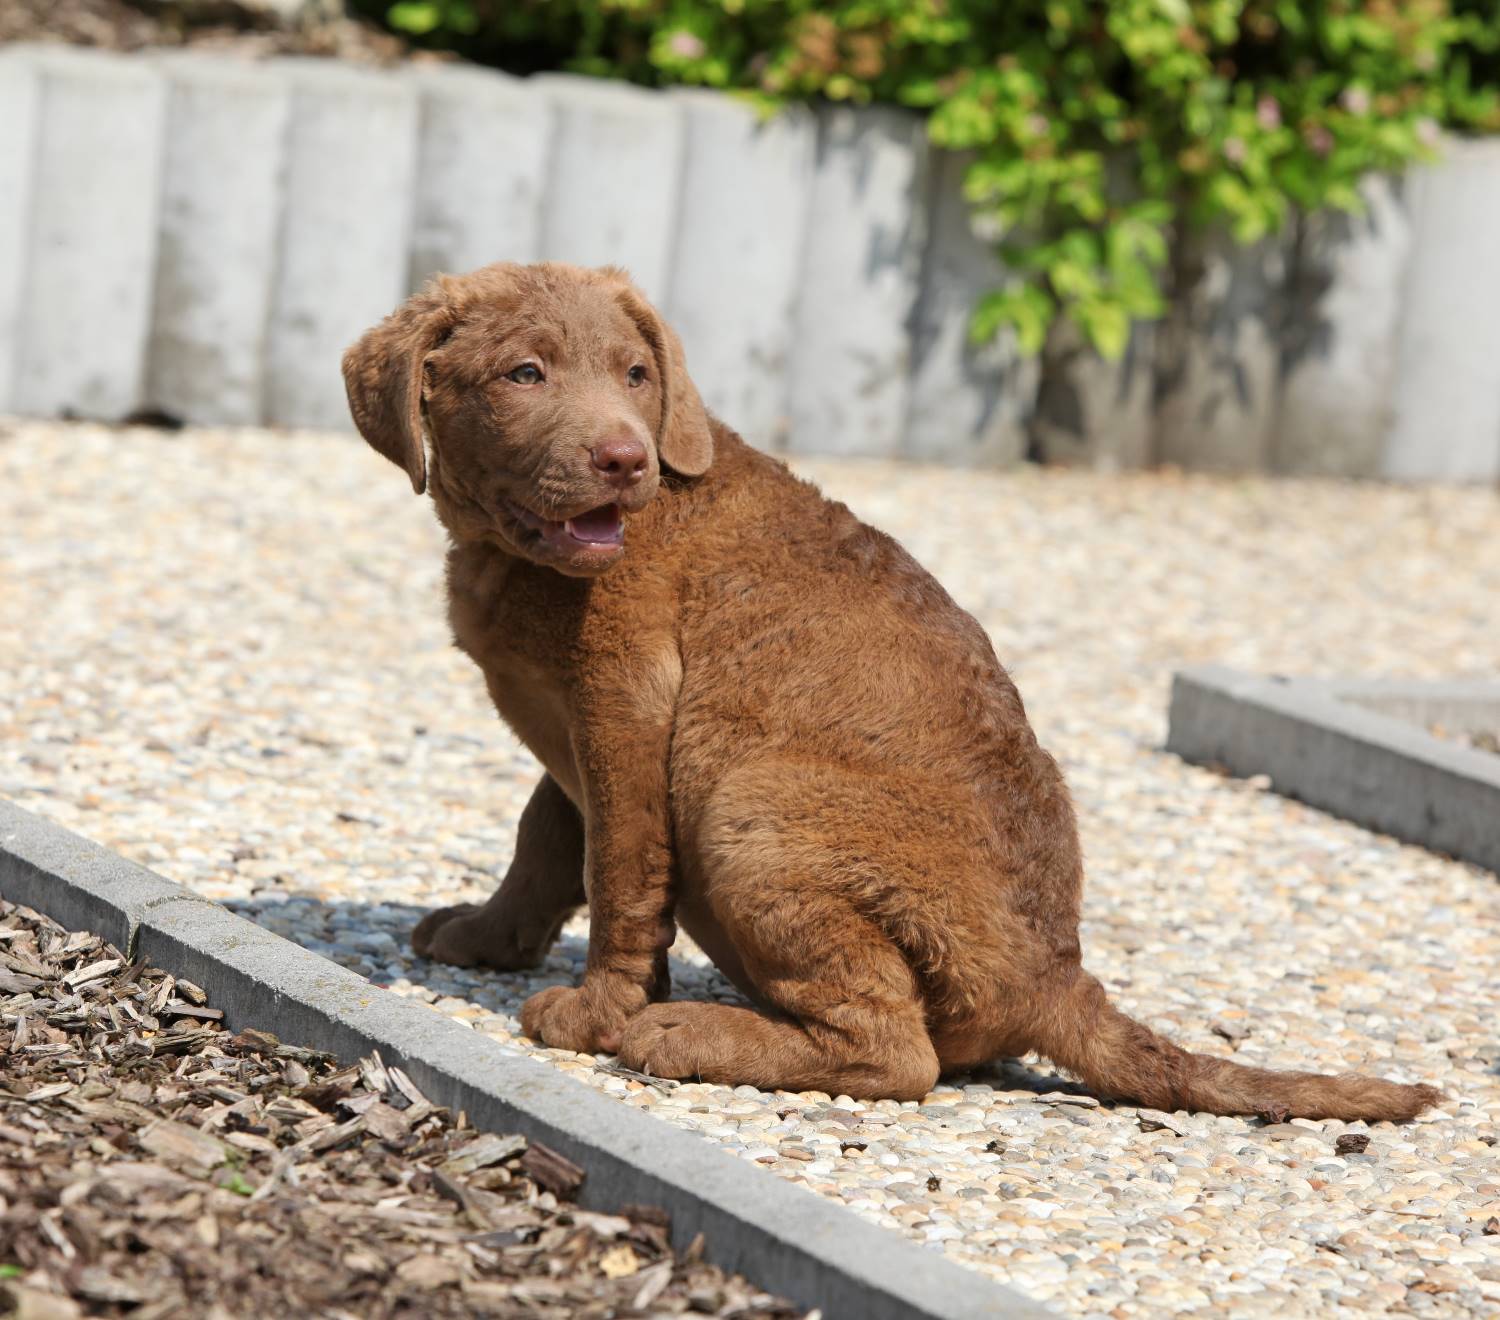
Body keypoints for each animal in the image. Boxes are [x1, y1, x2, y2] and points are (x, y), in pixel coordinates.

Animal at [343, 262, 1440, 1116]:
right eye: (524, 374)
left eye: (637, 375)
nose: (624, 458)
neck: (508, 555)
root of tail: (1060, 981)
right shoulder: (587, 725)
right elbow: (548, 833)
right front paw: (489, 936)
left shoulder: (627, 701)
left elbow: (619, 867)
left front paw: (598, 1009)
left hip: (753, 805)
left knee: (900, 1057)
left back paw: (691, 1033)